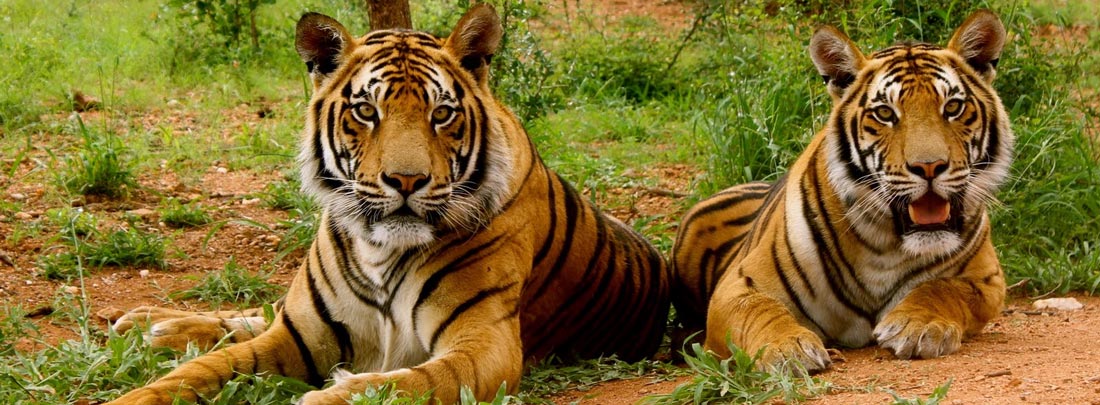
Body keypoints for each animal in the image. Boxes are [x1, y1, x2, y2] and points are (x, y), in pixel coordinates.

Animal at [106, 4, 670, 404]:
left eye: (442, 114)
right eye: (365, 111)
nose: (406, 180)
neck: (381, 251)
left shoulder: (485, 344)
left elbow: (411, 383)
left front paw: (330, 396)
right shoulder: (299, 334)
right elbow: (202, 370)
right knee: (259, 313)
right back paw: (153, 323)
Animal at [670, 9, 1012, 372]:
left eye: (952, 108)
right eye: (885, 113)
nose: (930, 166)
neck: (885, 244)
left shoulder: (987, 279)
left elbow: (942, 288)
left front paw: (917, 325)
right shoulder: (737, 285)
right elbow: (760, 311)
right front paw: (786, 349)